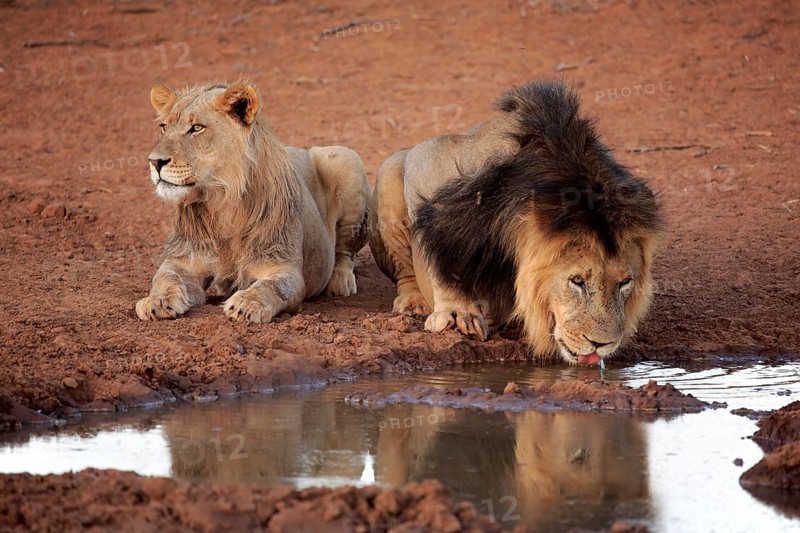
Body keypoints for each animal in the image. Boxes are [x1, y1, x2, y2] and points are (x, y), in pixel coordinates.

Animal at [135, 82, 371, 323]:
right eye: (164, 127)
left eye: (197, 128)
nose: (154, 161)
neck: (222, 204)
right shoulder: (182, 260)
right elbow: (165, 277)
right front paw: (157, 301)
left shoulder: (282, 265)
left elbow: (273, 287)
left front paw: (246, 303)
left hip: (345, 159)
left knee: (345, 252)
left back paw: (340, 283)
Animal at [369, 81, 662, 365]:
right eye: (577, 281)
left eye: (625, 282)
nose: (602, 344)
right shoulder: (431, 159)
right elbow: (441, 259)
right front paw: (459, 313)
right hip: (389, 175)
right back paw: (413, 303)